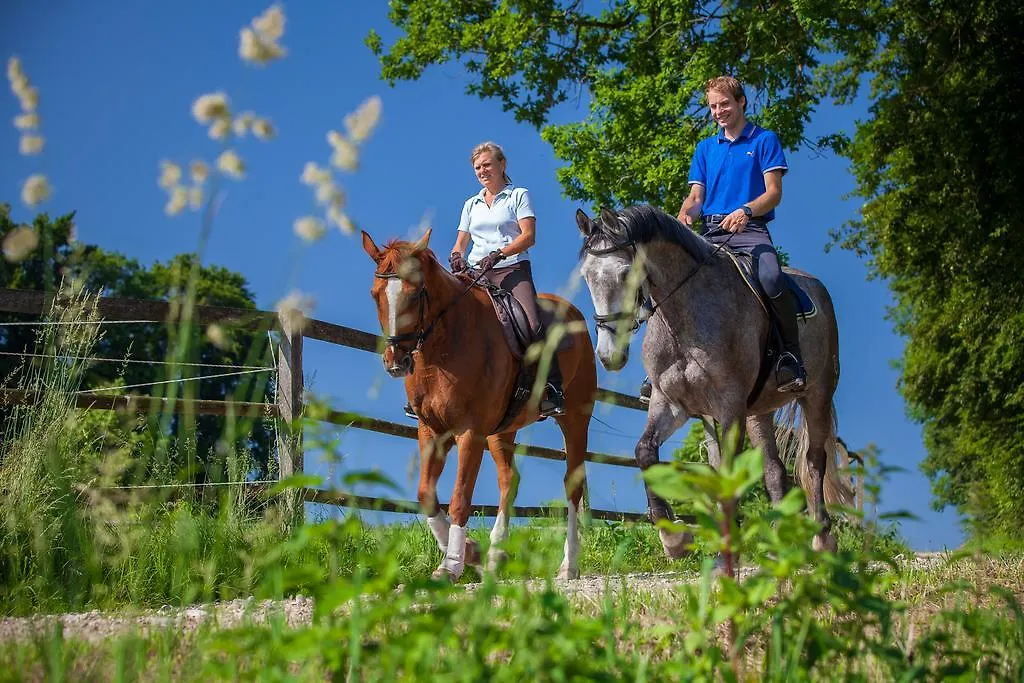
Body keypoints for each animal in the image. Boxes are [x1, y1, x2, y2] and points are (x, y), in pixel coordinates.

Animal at [362, 229, 598, 581]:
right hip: (503, 430)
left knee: (573, 483)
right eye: (375, 294)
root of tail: (572, 313)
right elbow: (425, 494)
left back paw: (568, 565)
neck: (447, 345)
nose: (396, 362)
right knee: (509, 481)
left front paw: (452, 564)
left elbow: (460, 498)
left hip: (575, 418)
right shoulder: (431, 430)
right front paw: (472, 552)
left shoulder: (469, 433)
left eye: (415, 294)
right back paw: (495, 557)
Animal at [577, 202, 856, 557]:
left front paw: (725, 544)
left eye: (626, 273)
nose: (608, 355)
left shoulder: (729, 407)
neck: (684, 314)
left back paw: (822, 540)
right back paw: (779, 543)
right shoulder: (670, 402)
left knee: (814, 461)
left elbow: (727, 473)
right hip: (758, 412)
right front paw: (673, 537)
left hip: (817, 393)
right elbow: (645, 451)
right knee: (774, 470)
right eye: (586, 276)